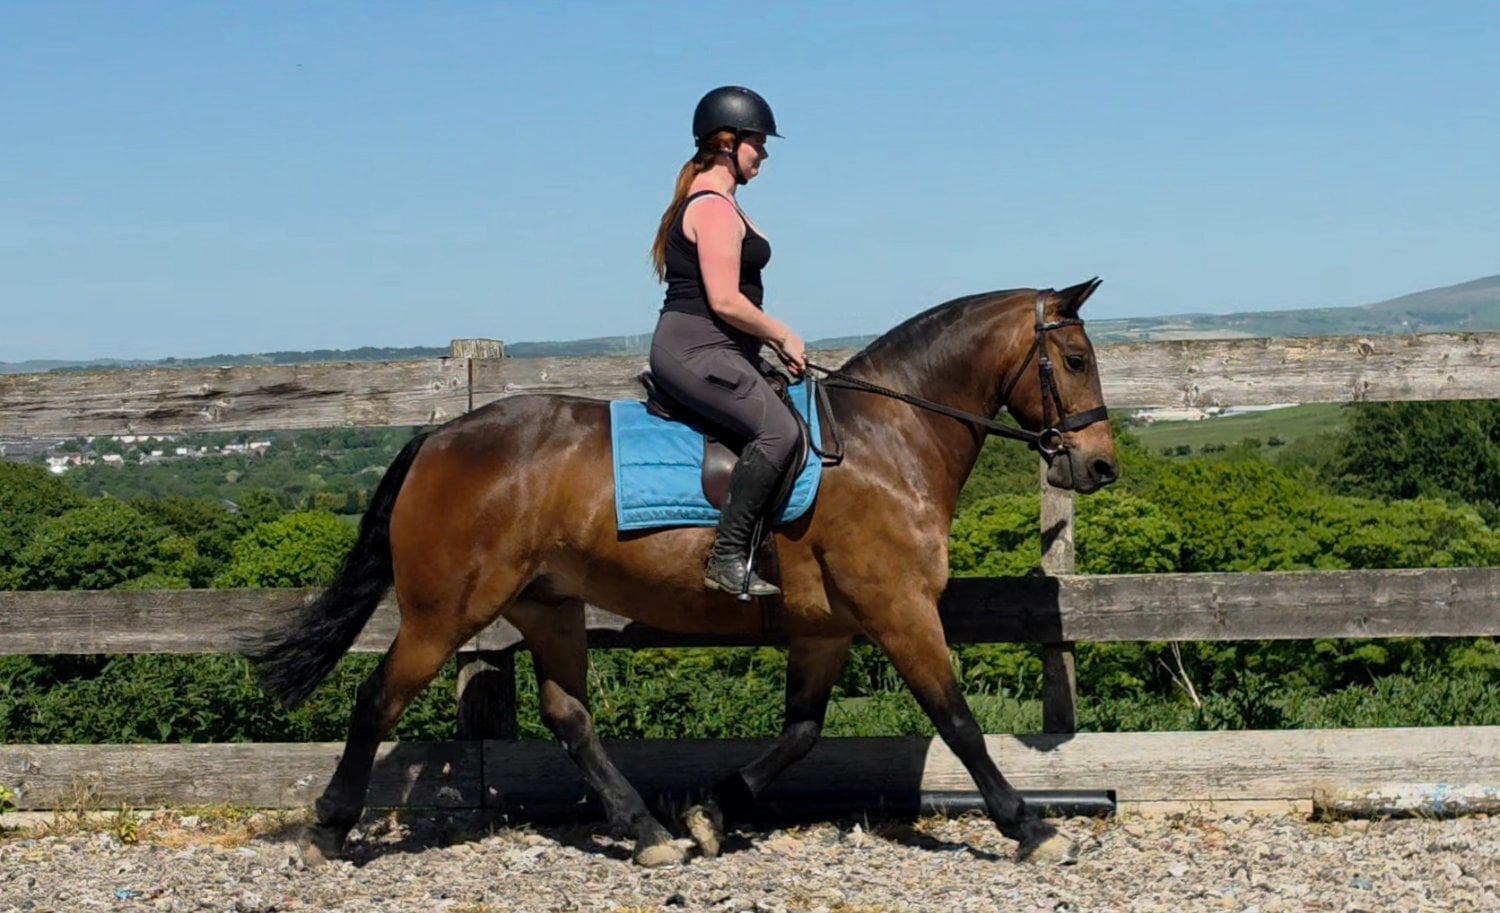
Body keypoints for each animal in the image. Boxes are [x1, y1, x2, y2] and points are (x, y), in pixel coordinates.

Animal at [243, 279, 1120, 868]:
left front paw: (708, 811)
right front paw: (1030, 826)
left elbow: (800, 732)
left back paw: (650, 833)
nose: (1100, 466)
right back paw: (328, 826)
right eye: (1076, 358)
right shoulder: (898, 608)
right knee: (376, 697)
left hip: (547, 604)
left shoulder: (828, 628)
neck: (886, 440)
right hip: (444, 611)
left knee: (569, 714)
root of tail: (440, 436)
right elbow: (956, 719)